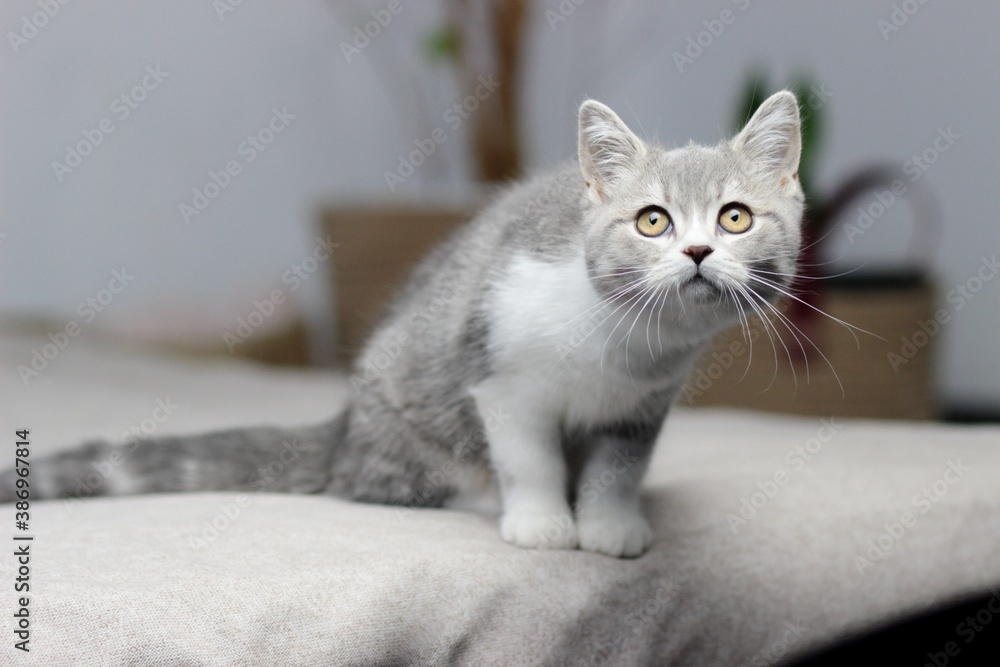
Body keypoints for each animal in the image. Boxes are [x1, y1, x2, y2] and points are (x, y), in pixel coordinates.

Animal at [0, 90, 800, 560]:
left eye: (734, 218)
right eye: (652, 221)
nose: (697, 252)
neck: (622, 339)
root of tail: (347, 424)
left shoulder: (646, 403)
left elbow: (618, 466)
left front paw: (609, 527)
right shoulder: (498, 372)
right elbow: (529, 455)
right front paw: (543, 521)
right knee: (380, 481)